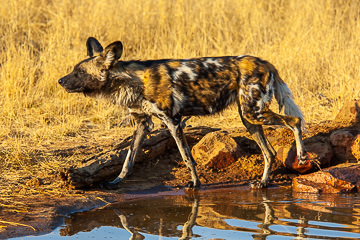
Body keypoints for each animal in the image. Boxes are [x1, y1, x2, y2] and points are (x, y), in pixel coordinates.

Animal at [58, 36, 306, 188]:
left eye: (79, 72)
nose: (60, 81)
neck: (130, 81)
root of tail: (266, 62)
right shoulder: (142, 124)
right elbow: (128, 159)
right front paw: (115, 182)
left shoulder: (173, 121)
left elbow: (187, 157)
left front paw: (195, 184)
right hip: (249, 118)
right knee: (270, 152)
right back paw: (263, 183)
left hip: (254, 113)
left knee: (294, 121)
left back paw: (302, 156)